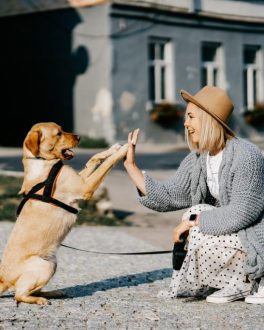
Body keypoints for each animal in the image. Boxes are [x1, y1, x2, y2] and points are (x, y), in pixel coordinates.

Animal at [0, 122, 128, 306]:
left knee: (30, 289)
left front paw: (113, 148)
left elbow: (93, 159)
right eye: (58, 133)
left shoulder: (80, 179)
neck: (43, 162)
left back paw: (53, 293)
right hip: (44, 265)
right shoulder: (85, 186)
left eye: (61, 129)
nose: (79, 137)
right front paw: (123, 150)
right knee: (19, 294)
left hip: (52, 263)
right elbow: (106, 165)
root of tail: (3, 278)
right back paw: (39, 299)